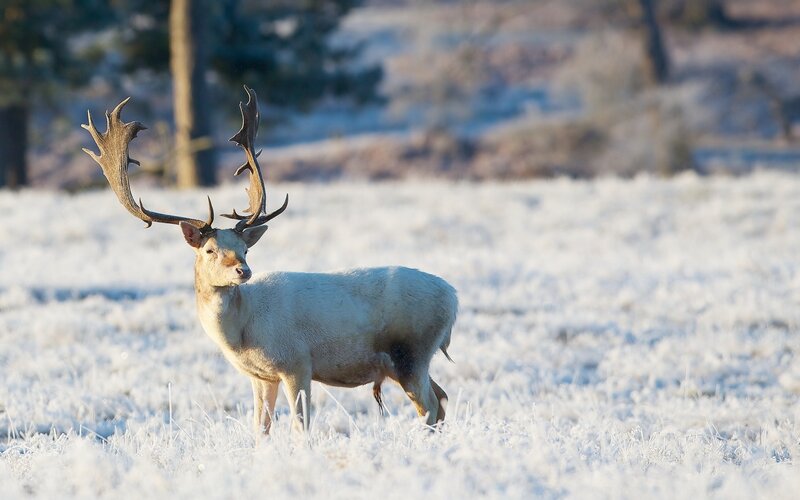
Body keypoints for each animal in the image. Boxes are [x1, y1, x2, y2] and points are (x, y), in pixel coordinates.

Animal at [82, 87, 458, 435]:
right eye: (209, 250)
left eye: (245, 249)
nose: (243, 270)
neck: (243, 332)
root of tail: (453, 298)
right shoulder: (260, 376)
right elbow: (260, 427)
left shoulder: (297, 362)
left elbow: (300, 425)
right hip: (409, 359)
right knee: (441, 398)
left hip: (411, 351)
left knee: (429, 406)